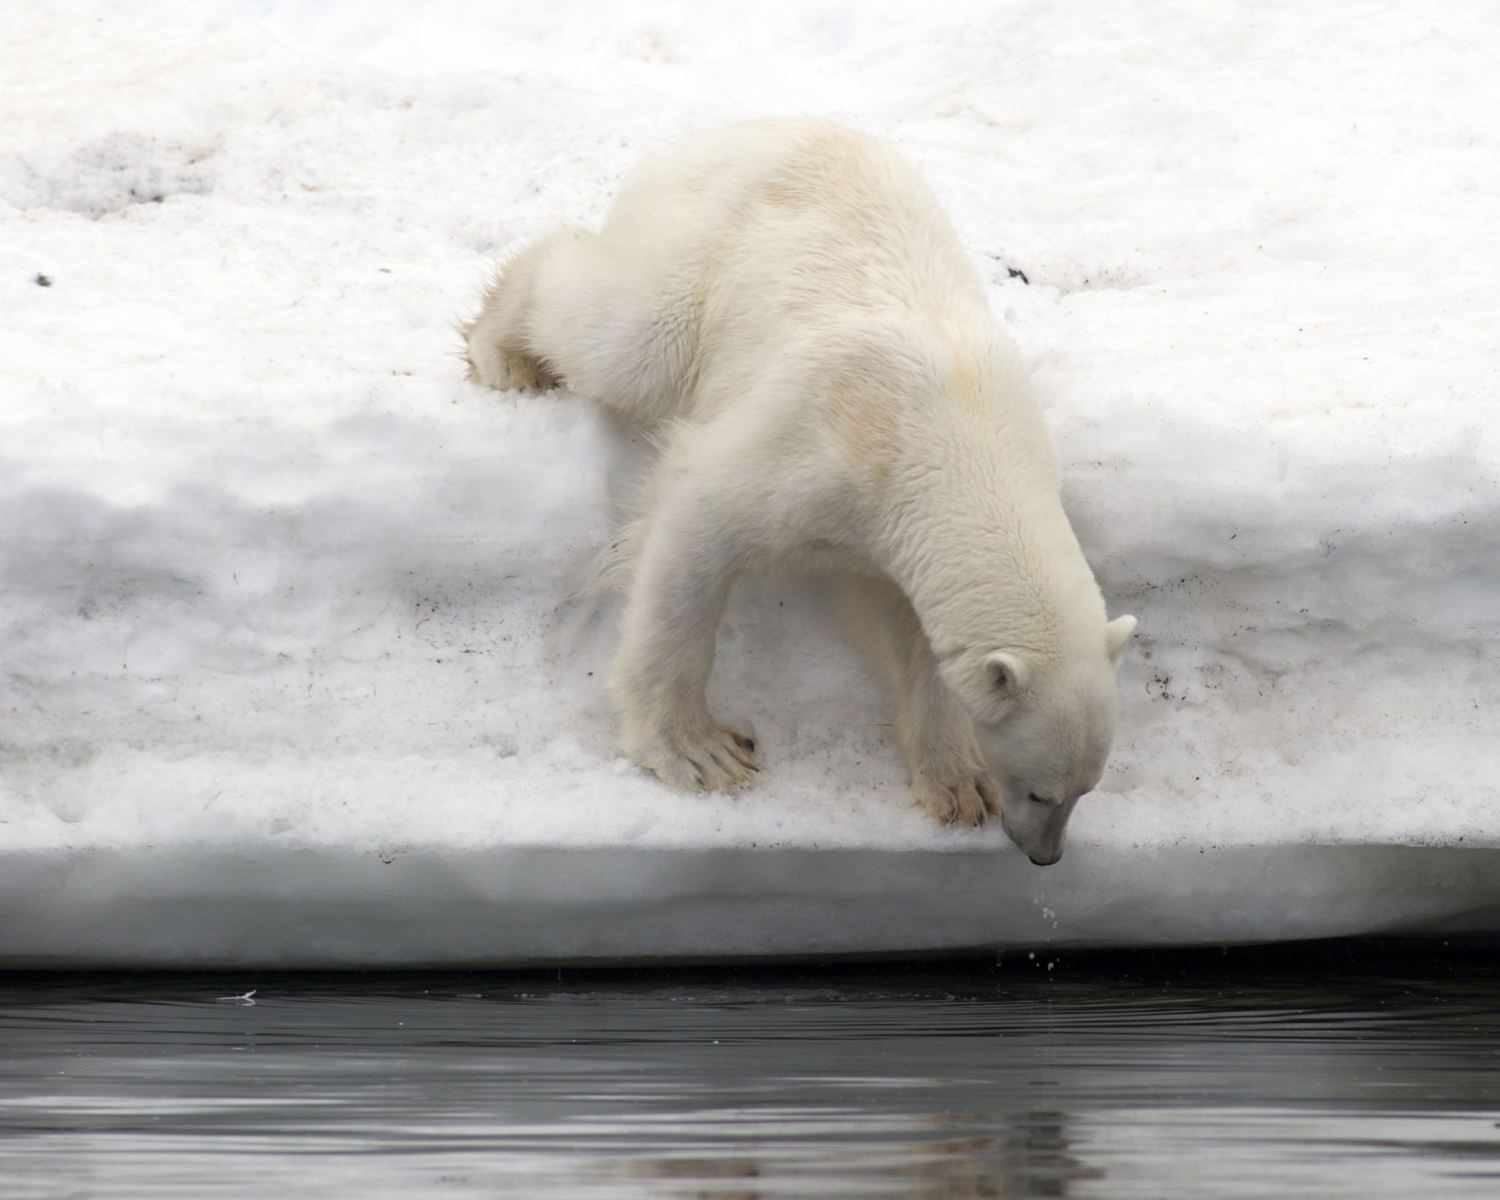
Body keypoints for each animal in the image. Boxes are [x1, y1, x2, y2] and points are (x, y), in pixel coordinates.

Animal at [462, 119, 1128, 864]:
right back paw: (505, 353)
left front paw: (959, 785)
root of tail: (732, 132)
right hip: (701, 256)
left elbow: (908, 626)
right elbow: (696, 530)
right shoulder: (823, 450)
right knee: (624, 336)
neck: (961, 428)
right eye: (1041, 790)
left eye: (1085, 788)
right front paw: (699, 753)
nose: (1046, 854)